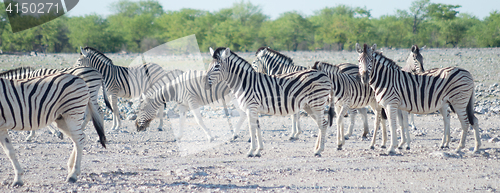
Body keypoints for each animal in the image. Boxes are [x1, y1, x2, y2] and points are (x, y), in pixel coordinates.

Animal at [205, 47, 334, 158]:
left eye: (217, 66)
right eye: (209, 66)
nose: (205, 83)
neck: (244, 82)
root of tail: (324, 74)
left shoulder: (251, 108)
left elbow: (252, 129)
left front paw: (251, 151)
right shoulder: (254, 109)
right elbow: (257, 129)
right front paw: (258, 151)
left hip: (317, 103)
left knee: (323, 124)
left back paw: (319, 150)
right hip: (309, 106)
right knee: (321, 124)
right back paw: (316, 149)